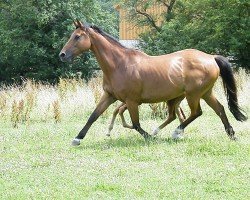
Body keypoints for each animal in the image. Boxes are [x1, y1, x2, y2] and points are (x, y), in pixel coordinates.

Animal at [59, 20, 247, 146]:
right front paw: (77, 139)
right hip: (205, 93)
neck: (119, 64)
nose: (62, 55)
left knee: (196, 113)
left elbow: (136, 124)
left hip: (193, 95)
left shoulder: (131, 101)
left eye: (77, 37)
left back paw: (175, 132)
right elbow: (94, 116)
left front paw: (150, 137)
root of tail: (211, 57)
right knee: (220, 109)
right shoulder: (109, 96)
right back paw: (231, 134)